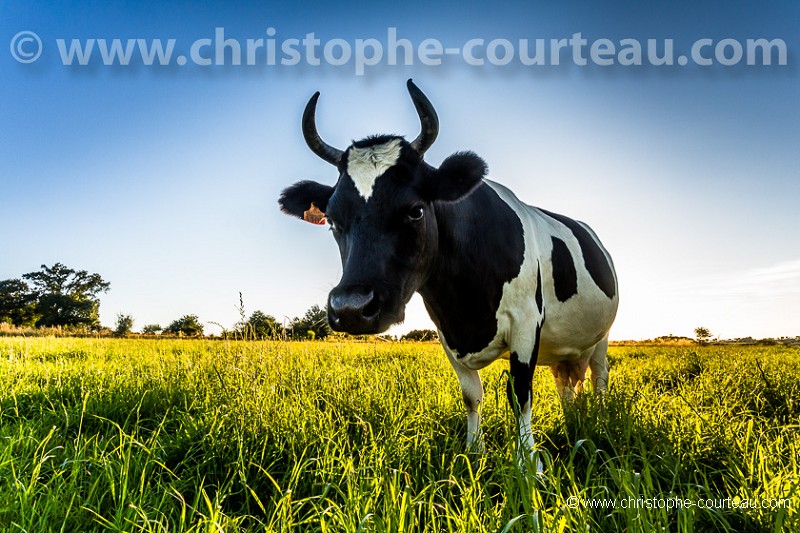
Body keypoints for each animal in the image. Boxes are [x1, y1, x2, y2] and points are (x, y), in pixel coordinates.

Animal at [280, 79, 620, 470]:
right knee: (566, 384)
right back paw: (573, 422)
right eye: (333, 220)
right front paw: (474, 452)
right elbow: (471, 394)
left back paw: (600, 422)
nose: (351, 308)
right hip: (564, 349)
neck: (466, 304)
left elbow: (520, 393)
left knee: (599, 377)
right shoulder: (445, 331)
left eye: (414, 210)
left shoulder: (526, 321)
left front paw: (527, 463)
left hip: (603, 335)